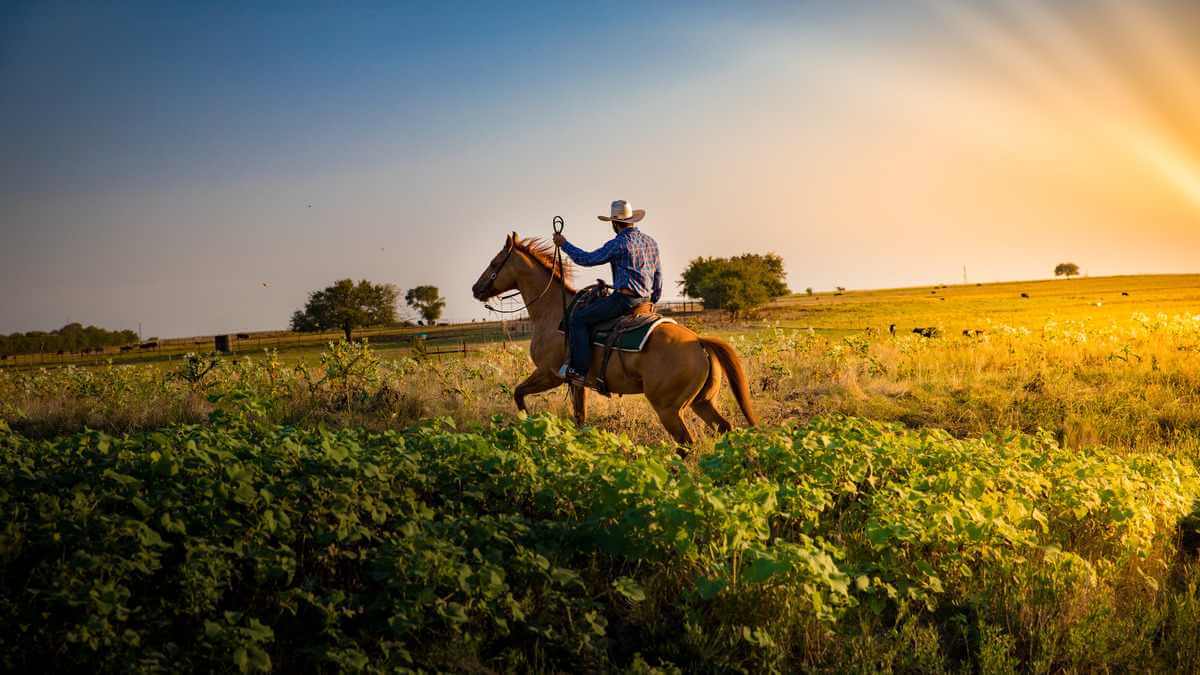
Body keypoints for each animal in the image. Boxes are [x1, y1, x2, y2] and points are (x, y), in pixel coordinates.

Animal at [471, 232, 756, 444]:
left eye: (495, 263)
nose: (476, 288)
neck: (554, 312)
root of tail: (699, 342)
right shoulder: (577, 382)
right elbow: (579, 418)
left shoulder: (550, 374)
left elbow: (519, 393)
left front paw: (529, 425)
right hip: (702, 402)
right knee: (724, 428)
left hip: (669, 408)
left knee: (686, 443)